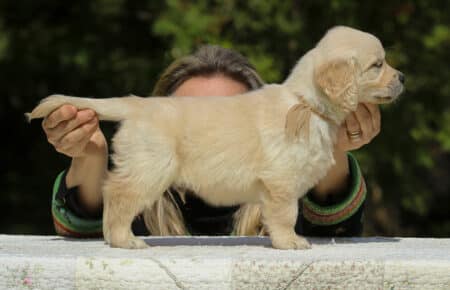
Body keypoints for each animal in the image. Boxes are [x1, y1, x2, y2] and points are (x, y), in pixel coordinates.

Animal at [27, 26, 404, 250]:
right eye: (377, 65)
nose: (402, 77)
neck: (306, 104)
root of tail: (136, 105)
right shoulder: (281, 182)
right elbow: (285, 215)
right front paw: (291, 242)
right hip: (150, 167)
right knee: (117, 195)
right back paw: (124, 241)